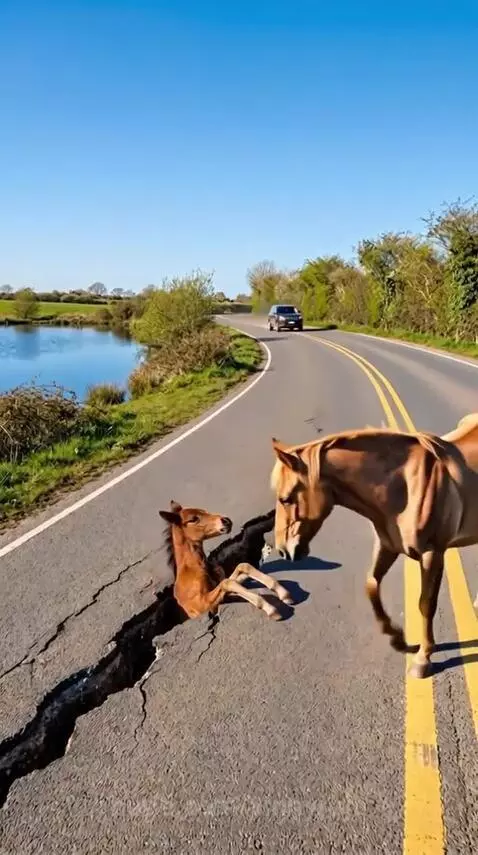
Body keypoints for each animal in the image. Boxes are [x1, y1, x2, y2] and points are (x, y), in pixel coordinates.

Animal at [159, 501, 293, 621]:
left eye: (204, 510)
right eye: (193, 519)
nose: (226, 520)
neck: (192, 571)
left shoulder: (222, 595)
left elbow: (241, 568)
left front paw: (284, 594)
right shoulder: (204, 606)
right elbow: (227, 582)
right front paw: (271, 608)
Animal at [269, 413, 478, 678]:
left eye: (285, 499)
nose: (284, 550)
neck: (406, 487)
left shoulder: (433, 554)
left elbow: (425, 604)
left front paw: (423, 659)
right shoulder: (387, 546)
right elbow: (371, 584)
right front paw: (397, 638)